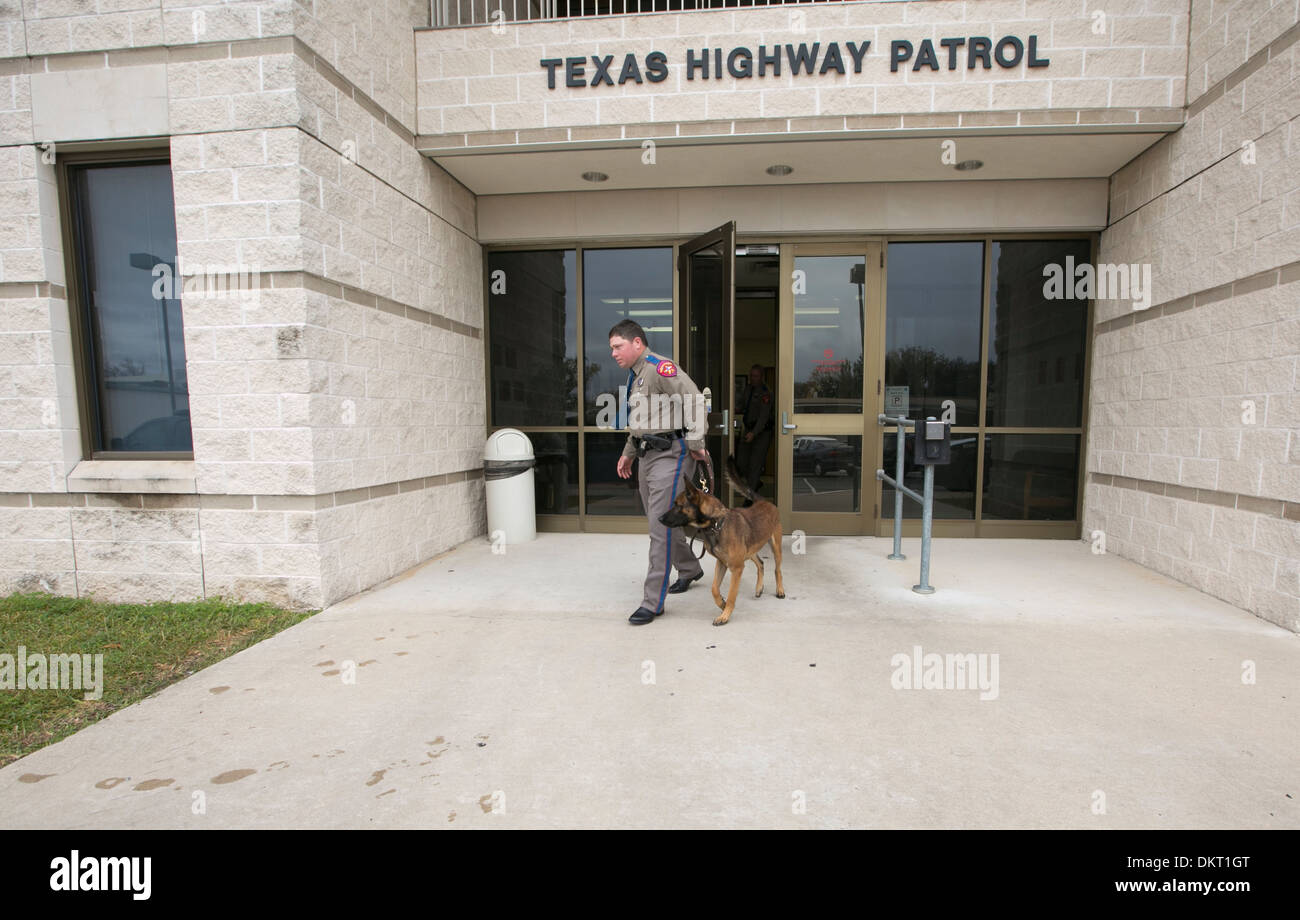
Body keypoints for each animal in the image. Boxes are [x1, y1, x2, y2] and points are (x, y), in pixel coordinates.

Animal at [655, 454, 785, 626]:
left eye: (678, 505)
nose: (659, 519)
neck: (716, 524)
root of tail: (763, 501)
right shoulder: (722, 563)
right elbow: (714, 589)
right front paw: (721, 604)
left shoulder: (736, 568)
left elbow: (731, 595)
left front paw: (725, 615)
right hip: (750, 550)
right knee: (761, 563)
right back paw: (759, 588)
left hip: (775, 547)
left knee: (777, 569)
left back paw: (780, 590)